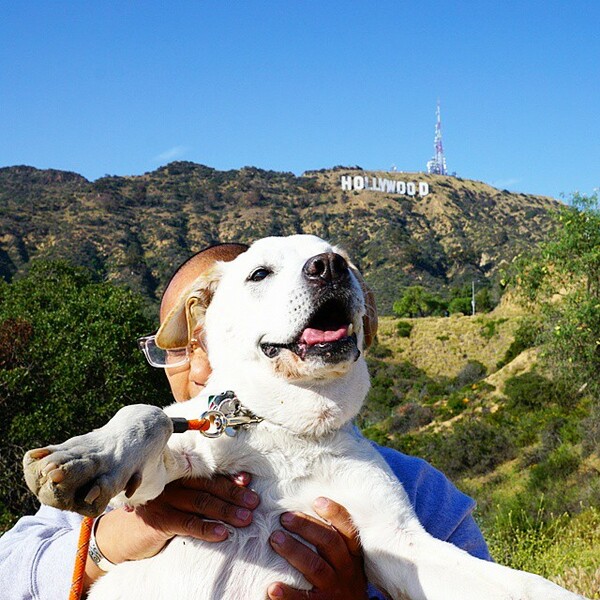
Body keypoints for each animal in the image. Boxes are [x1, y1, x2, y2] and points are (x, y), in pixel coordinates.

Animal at [24, 234, 584, 600]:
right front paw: (88, 457)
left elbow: (525, 587)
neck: (285, 427)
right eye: (259, 273)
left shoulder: (395, 541)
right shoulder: (162, 478)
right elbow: (150, 415)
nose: (330, 266)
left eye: (350, 264)